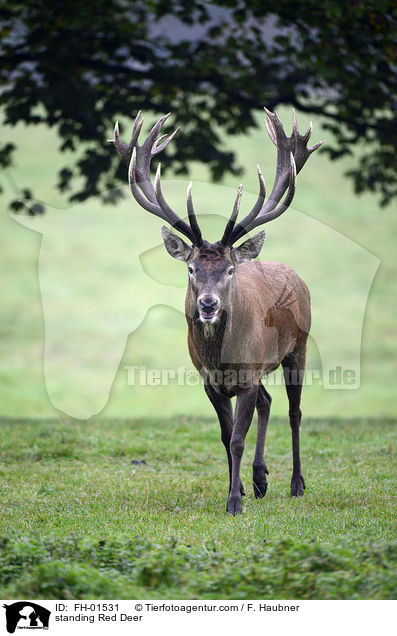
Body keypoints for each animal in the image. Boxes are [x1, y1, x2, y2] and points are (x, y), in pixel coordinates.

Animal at [108, 109, 322, 516]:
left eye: (230, 270)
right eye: (191, 269)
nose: (208, 304)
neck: (220, 358)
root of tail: (296, 276)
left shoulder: (249, 374)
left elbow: (238, 437)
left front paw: (234, 502)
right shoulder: (211, 381)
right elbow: (225, 436)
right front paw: (236, 487)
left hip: (297, 348)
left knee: (295, 412)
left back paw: (297, 484)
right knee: (269, 403)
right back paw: (260, 479)